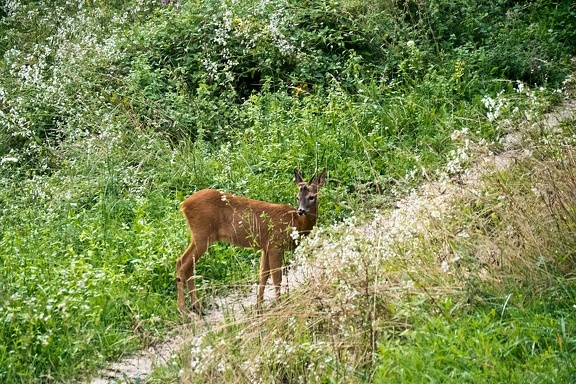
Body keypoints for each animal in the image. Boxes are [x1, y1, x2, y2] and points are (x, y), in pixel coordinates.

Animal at [177, 170, 324, 314]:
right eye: (297, 197)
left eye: (312, 196)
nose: (301, 211)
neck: (295, 223)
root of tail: (184, 205)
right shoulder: (275, 245)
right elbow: (276, 278)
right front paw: (280, 306)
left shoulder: (266, 247)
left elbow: (263, 275)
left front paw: (258, 308)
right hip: (202, 234)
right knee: (181, 262)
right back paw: (183, 310)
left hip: (199, 236)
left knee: (188, 265)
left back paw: (197, 308)